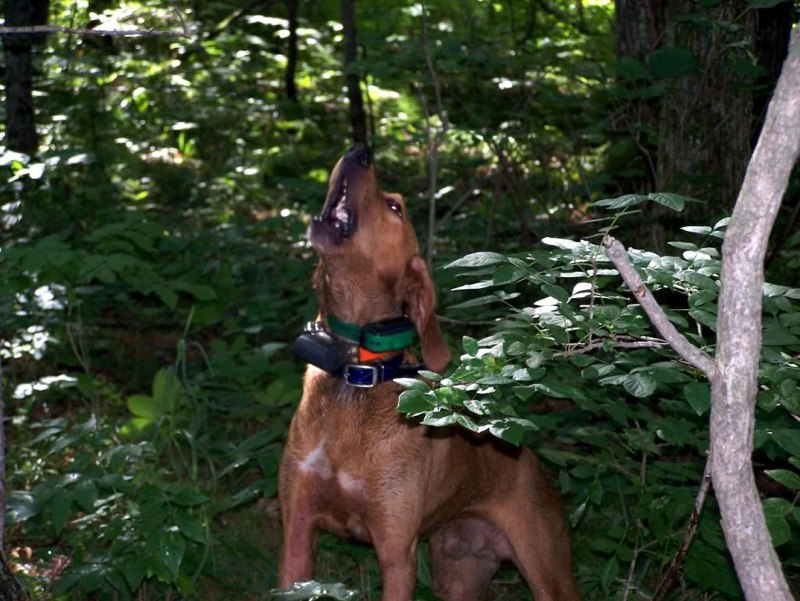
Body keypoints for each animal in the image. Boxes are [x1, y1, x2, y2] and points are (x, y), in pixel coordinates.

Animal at [278, 145, 581, 601]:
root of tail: (525, 455)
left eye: (395, 208)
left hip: (548, 571)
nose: (361, 151)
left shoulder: (396, 554)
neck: (354, 372)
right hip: (457, 573)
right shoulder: (296, 535)